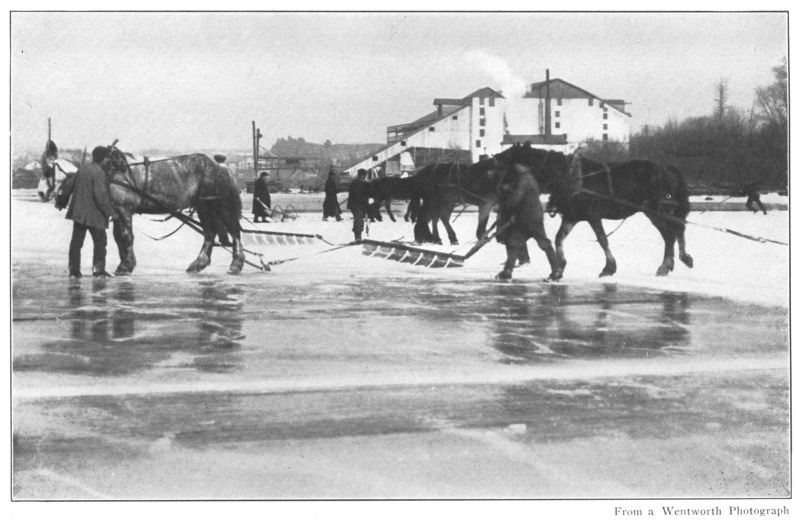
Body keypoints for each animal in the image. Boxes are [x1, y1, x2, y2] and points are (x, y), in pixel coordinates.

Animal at [67, 146, 244, 276]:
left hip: (220, 204)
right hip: (204, 206)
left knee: (233, 230)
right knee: (210, 232)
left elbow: (125, 237)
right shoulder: (117, 211)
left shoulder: (124, 209)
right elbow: (118, 237)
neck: (113, 169)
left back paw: (236, 264)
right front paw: (124, 264)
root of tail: (222, 167)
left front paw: (126, 266)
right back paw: (198, 264)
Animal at [494, 143, 692, 276]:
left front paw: (609, 267)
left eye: (509, 155)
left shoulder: (592, 215)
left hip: (655, 210)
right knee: (676, 229)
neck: (569, 175)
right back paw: (678, 260)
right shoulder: (572, 216)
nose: (493, 157)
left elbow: (602, 239)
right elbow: (559, 238)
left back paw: (666, 265)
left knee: (670, 234)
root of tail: (666, 168)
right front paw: (560, 265)